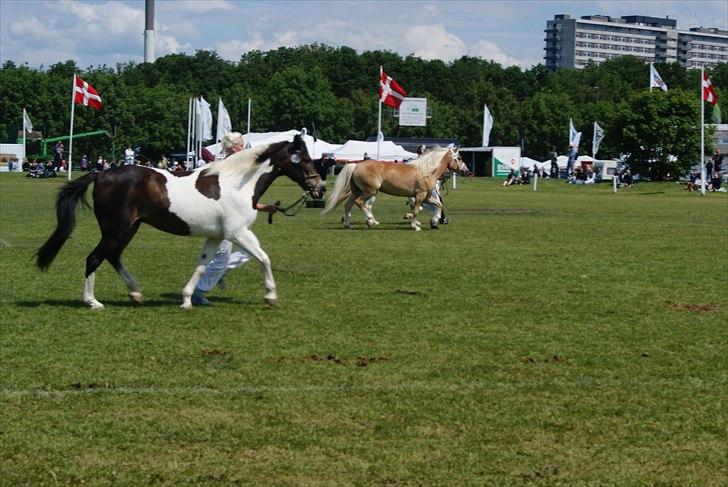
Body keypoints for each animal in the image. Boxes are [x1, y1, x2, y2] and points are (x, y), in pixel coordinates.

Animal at [35, 134, 326, 308]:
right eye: (304, 158)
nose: (320, 188)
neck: (237, 183)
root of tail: (102, 174)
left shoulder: (216, 236)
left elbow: (202, 265)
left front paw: (187, 299)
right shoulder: (238, 233)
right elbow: (264, 258)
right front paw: (271, 295)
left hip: (129, 228)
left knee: (113, 256)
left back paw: (136, 293)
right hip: (116, 230)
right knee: (95, 258)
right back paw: (92, 301)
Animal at [322, 148, 466, 232]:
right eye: (459, 158)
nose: (466, 170)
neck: (426, 171)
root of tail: (356, 165)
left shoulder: (426, 196)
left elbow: (438, 204)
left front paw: (435, 220)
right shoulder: (420, 196)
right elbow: (416, 210)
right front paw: (415, 226)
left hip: (357, 191)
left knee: (348, 205)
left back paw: (348, 224)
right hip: (370, 191)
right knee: (360, 203)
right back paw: (370, 220)